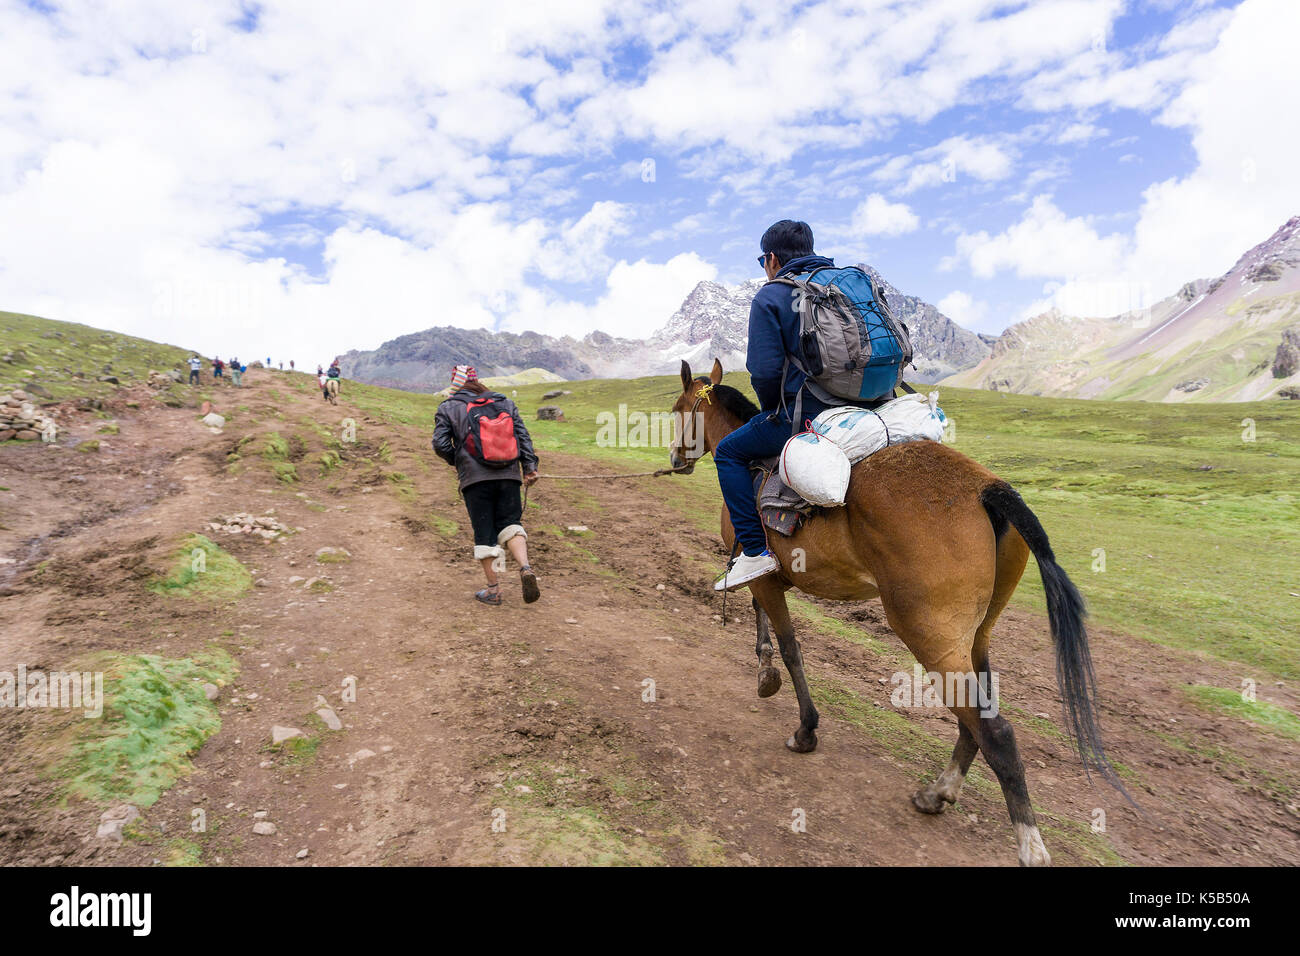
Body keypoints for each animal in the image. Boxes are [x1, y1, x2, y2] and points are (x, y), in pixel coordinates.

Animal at [670, 358, 1128, 868]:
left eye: (676, 410)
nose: (675, 461)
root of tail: (987, 490)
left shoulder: (764, 576)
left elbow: (791, 648)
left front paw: (803, 726)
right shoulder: (766, 578)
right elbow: (763, 621)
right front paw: (765, 677)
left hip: (930, 638)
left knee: (997, 733)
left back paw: (1029, 845)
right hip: (974, 636)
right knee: (979, 715)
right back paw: (938, 793)